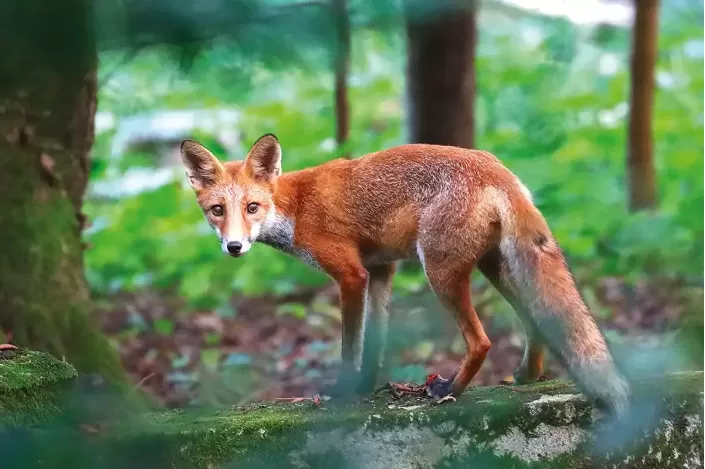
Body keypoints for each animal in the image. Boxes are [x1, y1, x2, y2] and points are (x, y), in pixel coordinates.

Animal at [179, 133, 628, 414]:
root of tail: (496, 168)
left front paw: (342, 394)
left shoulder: (351, 275)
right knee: (536, 320)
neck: (295, 207)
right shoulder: (382, 270)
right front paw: (365, 388)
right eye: (217, 211)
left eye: (251, 208)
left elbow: (350, 347)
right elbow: (375, 343)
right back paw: (525, 376)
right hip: (494, 266)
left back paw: (449, 391)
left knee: (482, 340)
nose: (234, 247)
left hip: (441, 272)